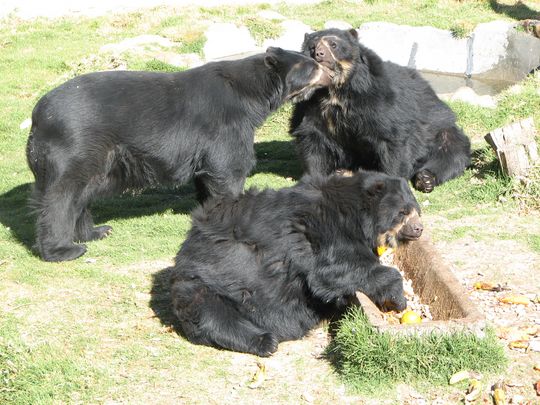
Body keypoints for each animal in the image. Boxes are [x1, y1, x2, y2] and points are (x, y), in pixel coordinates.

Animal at [27, 47, 332, 262]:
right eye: (313, 67)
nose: (331, 73)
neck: (253, 95)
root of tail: (37, 116)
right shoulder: (227, 125)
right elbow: (230, 168)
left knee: (81, 195)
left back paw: (95, 232)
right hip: (74, 148)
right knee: (60, 197)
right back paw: (63, 250)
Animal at [171, 169, 424, 356]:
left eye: (416, 211)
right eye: (403, 212)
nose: (419, 229)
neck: (357, 215)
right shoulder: (327, 228)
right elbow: (336, 269)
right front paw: (399, 299)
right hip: (204, 283)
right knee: (214, 316)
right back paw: (266, 341)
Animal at [288, 28, 470, 193]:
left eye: (333, 45)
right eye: (312, 47)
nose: (319, 54)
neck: (335, 91)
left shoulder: (378, 100)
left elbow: (392, 138)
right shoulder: (311, 105)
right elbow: (312, 138)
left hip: (442, 131)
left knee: (451, 153)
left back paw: (425, 179)